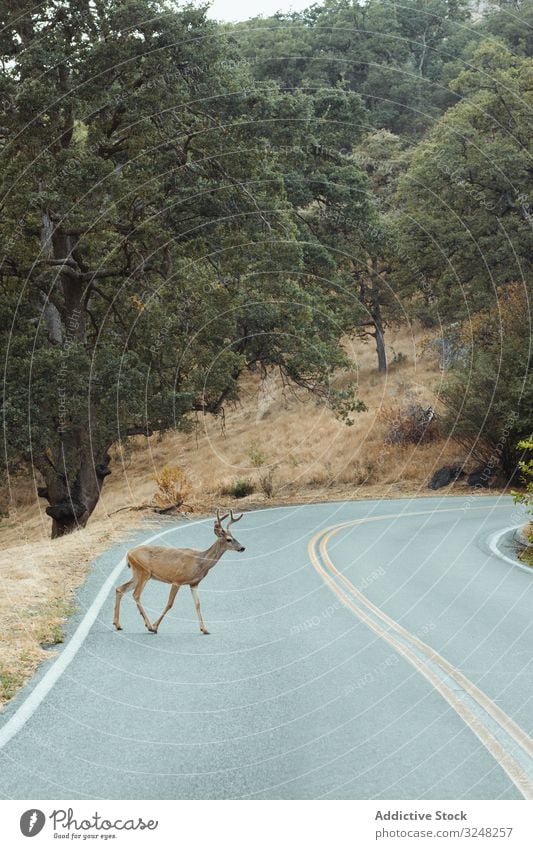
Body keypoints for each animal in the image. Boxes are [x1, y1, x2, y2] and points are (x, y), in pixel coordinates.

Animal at [113, 506, 246, 632]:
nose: (242, 547)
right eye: (229, 539)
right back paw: (149, 626)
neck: (200, 563)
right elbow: (169, 604)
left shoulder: (194, 583)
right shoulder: (177, 580)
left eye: (235, 537)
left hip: (137, 573)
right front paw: (156, 626)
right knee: (136, 594)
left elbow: (198, 604)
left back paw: (118, 624)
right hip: (144, 571)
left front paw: (204, 629)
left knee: (120, 589)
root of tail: (128, 554)